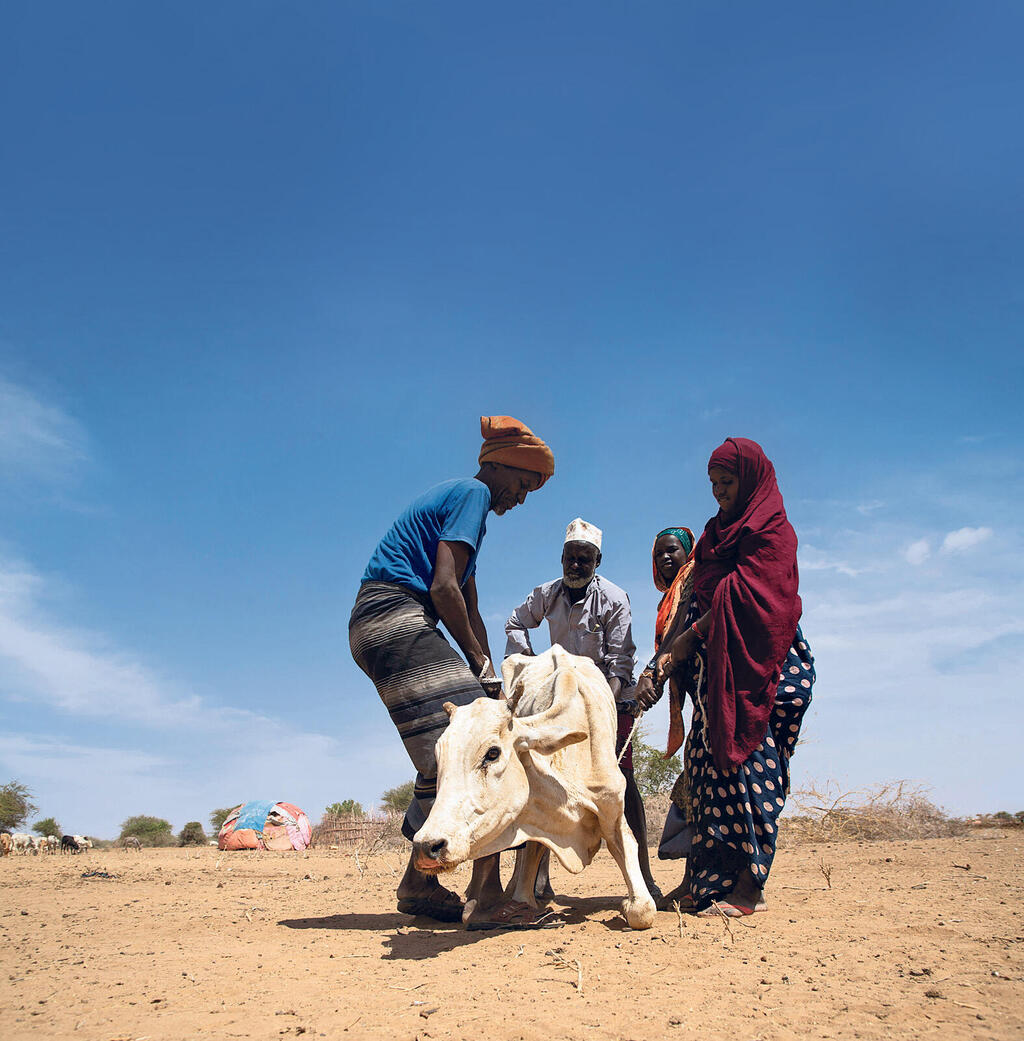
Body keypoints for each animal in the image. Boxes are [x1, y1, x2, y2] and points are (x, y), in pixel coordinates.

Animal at [414, 645, 657, 932]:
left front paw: (629, 902)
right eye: (439, 756)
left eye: (492, 753)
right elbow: (529, 859)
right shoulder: (531, 814)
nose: (427, 846)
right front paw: (520, 901)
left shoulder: (613, 812)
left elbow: (642, 911)